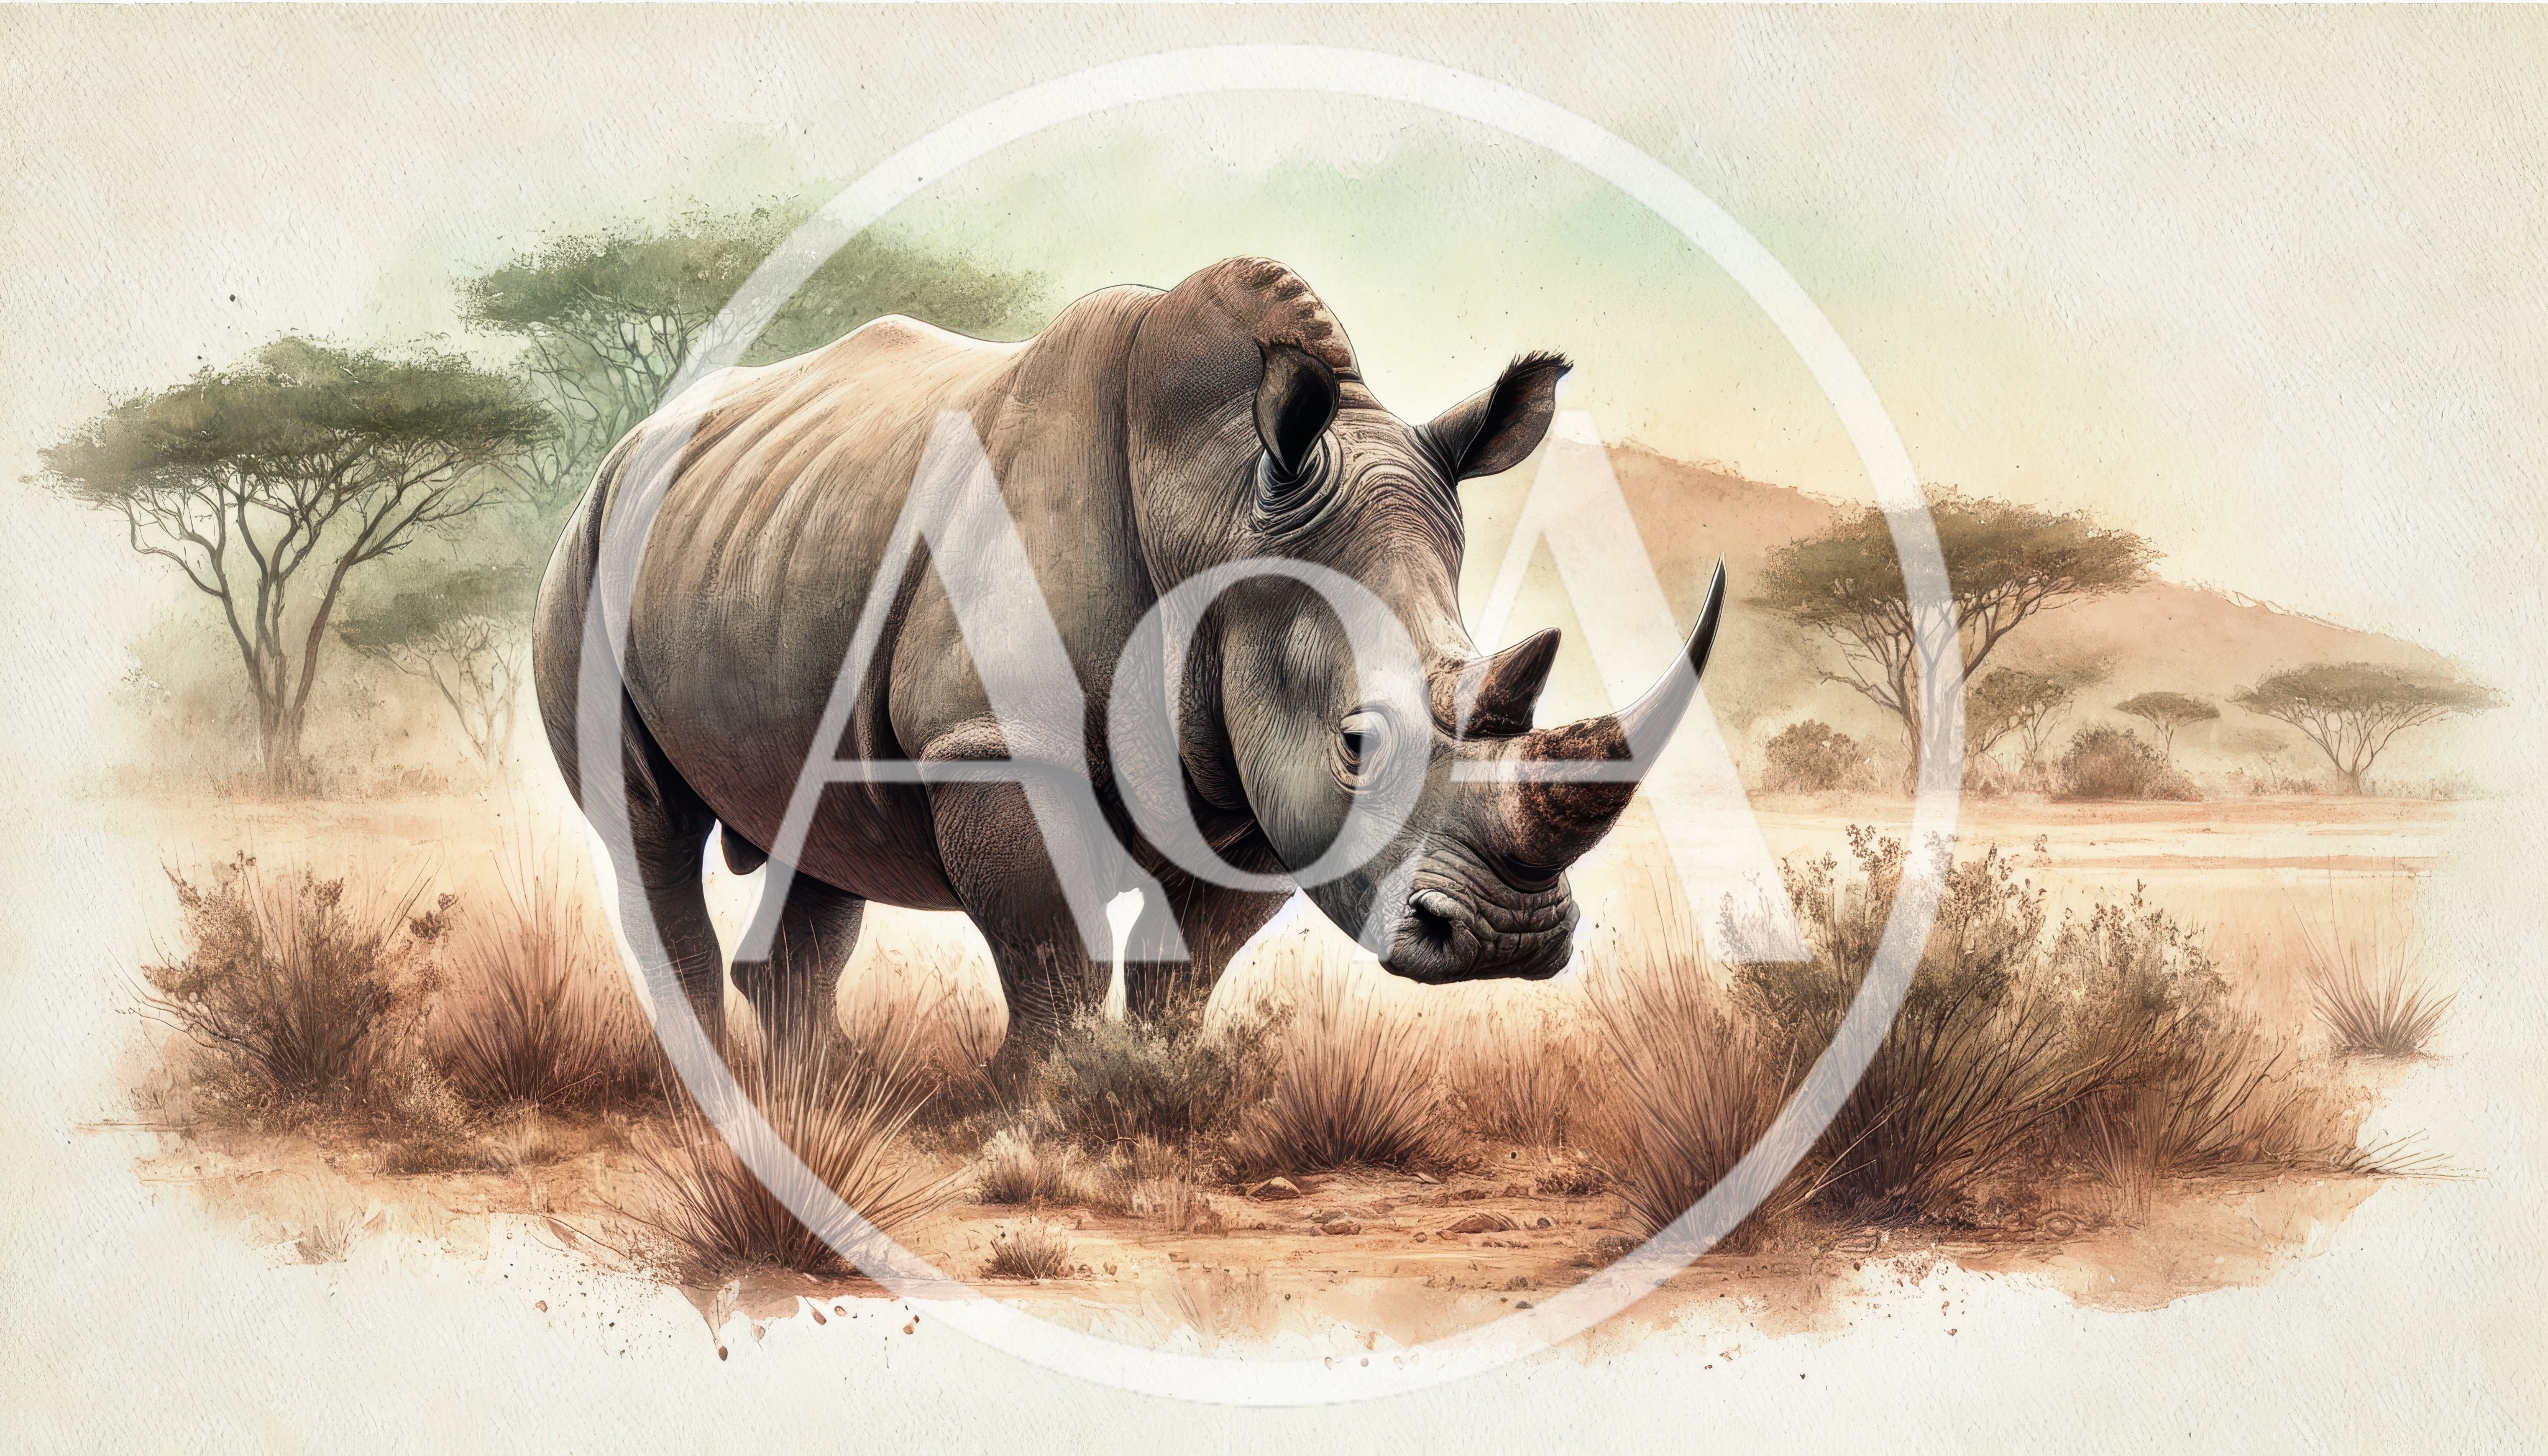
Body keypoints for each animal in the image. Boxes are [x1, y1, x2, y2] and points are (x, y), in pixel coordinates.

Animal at [533, 256, 1722, 1066]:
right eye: (1357, 743)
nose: (1508, 939)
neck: (1218, 503)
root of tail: (627, 450)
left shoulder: (1247, 787)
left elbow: (1182, 971)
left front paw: (1161, 1100)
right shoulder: (994, 744)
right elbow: (1054, 962)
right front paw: (1026, 1112)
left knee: (817, 832)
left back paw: (820, 1098)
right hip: (586, 556)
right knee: (651, 831)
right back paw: (725, 1093)